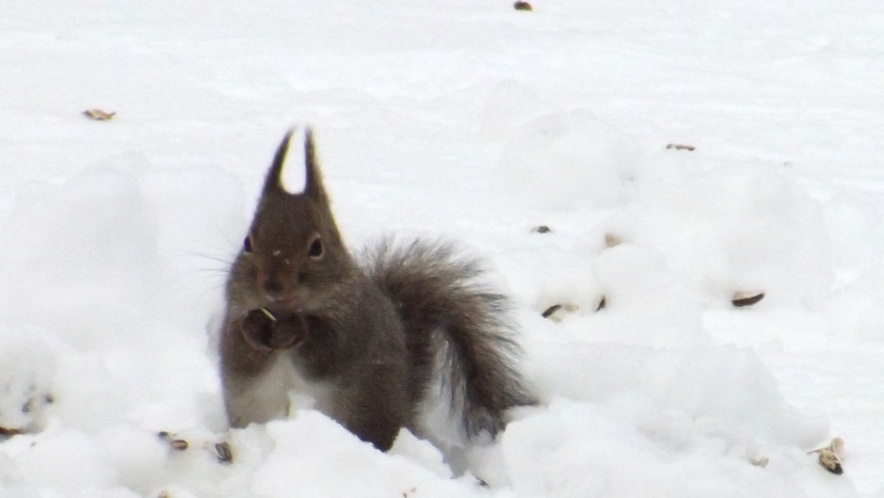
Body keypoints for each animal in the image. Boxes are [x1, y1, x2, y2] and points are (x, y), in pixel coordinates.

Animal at [218, 128, 536, 452]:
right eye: (247, 243)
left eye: (317, 248)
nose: (272, 285)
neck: (283, 310)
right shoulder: (232, 318)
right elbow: (240, 352)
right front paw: (254, 326)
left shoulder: (356, 324)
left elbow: (328, 349)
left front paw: (296, 330)